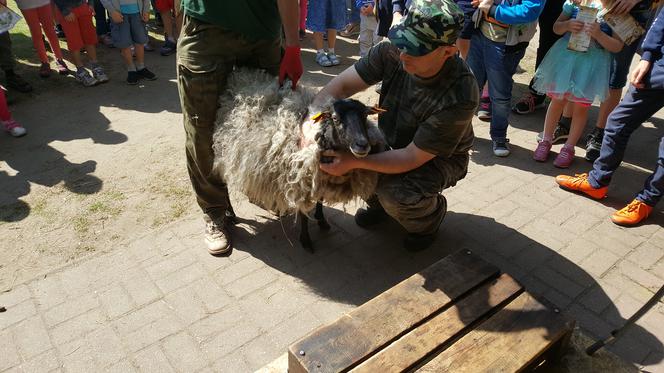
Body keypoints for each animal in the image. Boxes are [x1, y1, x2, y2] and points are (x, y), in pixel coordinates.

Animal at [213, 68, 386, 251]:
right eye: (335, 118)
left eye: (365, 116)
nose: (362, 145)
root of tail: (238, 77)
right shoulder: (301, 180)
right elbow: (303, 213)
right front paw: (305, 240)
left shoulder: (320, 177)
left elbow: (320, 201)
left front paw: (322, 220)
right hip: (224, 154)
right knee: (223, 186)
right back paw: (230, 214)